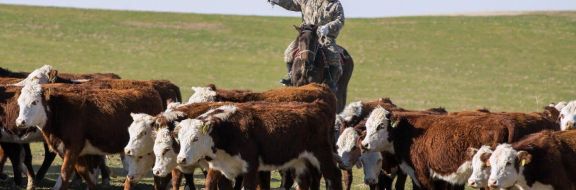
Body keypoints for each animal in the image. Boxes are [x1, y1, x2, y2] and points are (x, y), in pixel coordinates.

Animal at [14, 82, 163, 189]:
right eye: (20, 102)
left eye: (34, 102)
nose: (20, 121)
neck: (62, 111)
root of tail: (151, 91)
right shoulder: (75, 151)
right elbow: (83, 172)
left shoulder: (73, 147)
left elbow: (65, 173)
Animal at [173, 100, 340, 189]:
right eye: (179, 139)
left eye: (195, 138)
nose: (181, 159)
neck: (230, 129)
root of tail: (316, 106)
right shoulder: (222, 170)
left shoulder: (250, 168)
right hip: (300, 162)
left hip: (322, 156)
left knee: (333, 176)